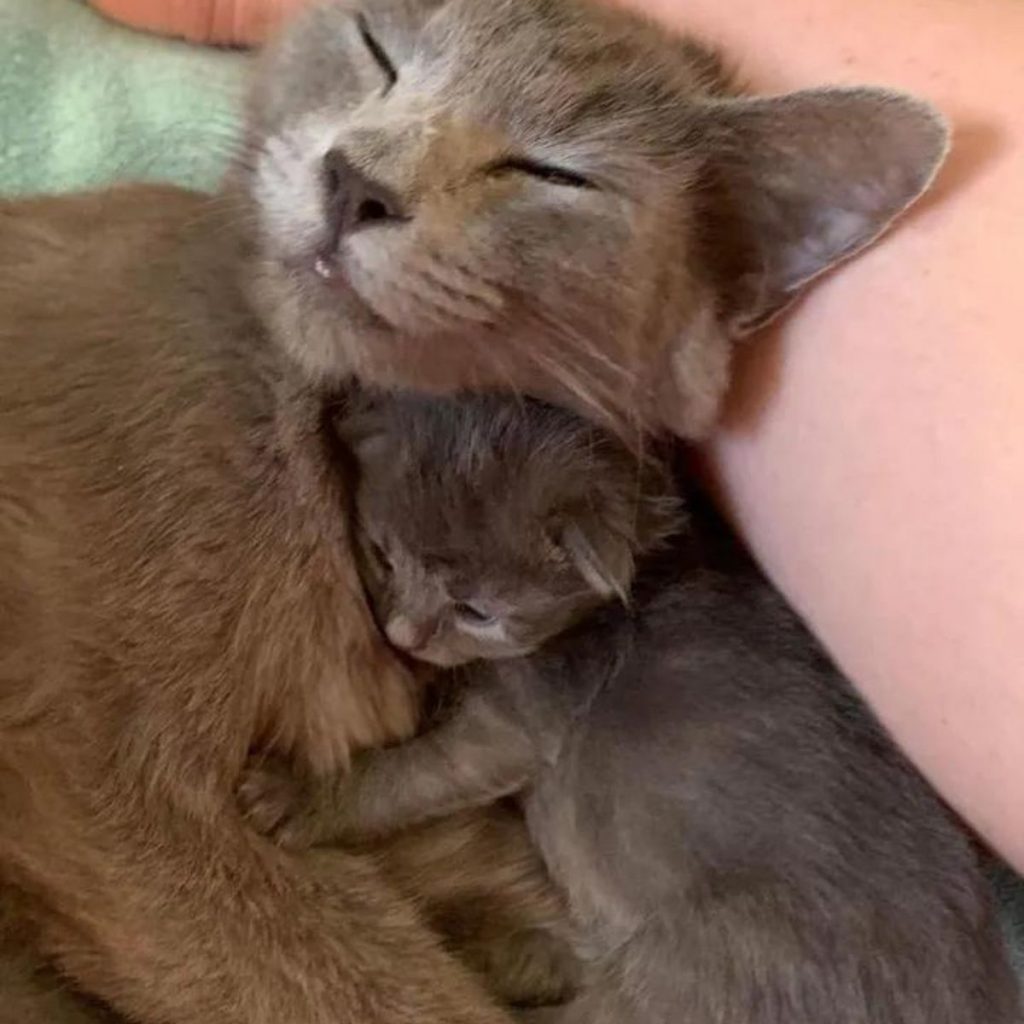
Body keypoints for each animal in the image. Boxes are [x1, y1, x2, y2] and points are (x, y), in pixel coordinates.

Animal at [237, 403, 1015, 1019]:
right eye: (382, 555)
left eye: (477, 611)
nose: (402, 635)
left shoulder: (516, 725)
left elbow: (409, 776)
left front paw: (302, 796)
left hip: (683, 962)